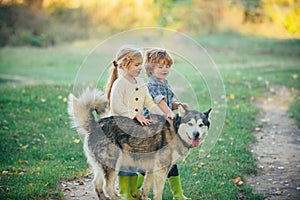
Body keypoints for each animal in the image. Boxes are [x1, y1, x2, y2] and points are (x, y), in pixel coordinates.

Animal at [67, 88, 211, 199]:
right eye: (190, 123)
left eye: (201, 124)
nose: (196, 134)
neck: (176, 132)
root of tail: (96, 125)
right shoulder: (161, 169)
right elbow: (158, 192)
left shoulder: (152, 169)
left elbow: (146, 187)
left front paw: (144, 197)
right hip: (114, 164)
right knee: (107, 187)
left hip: (101, 166)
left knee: (97, 185)